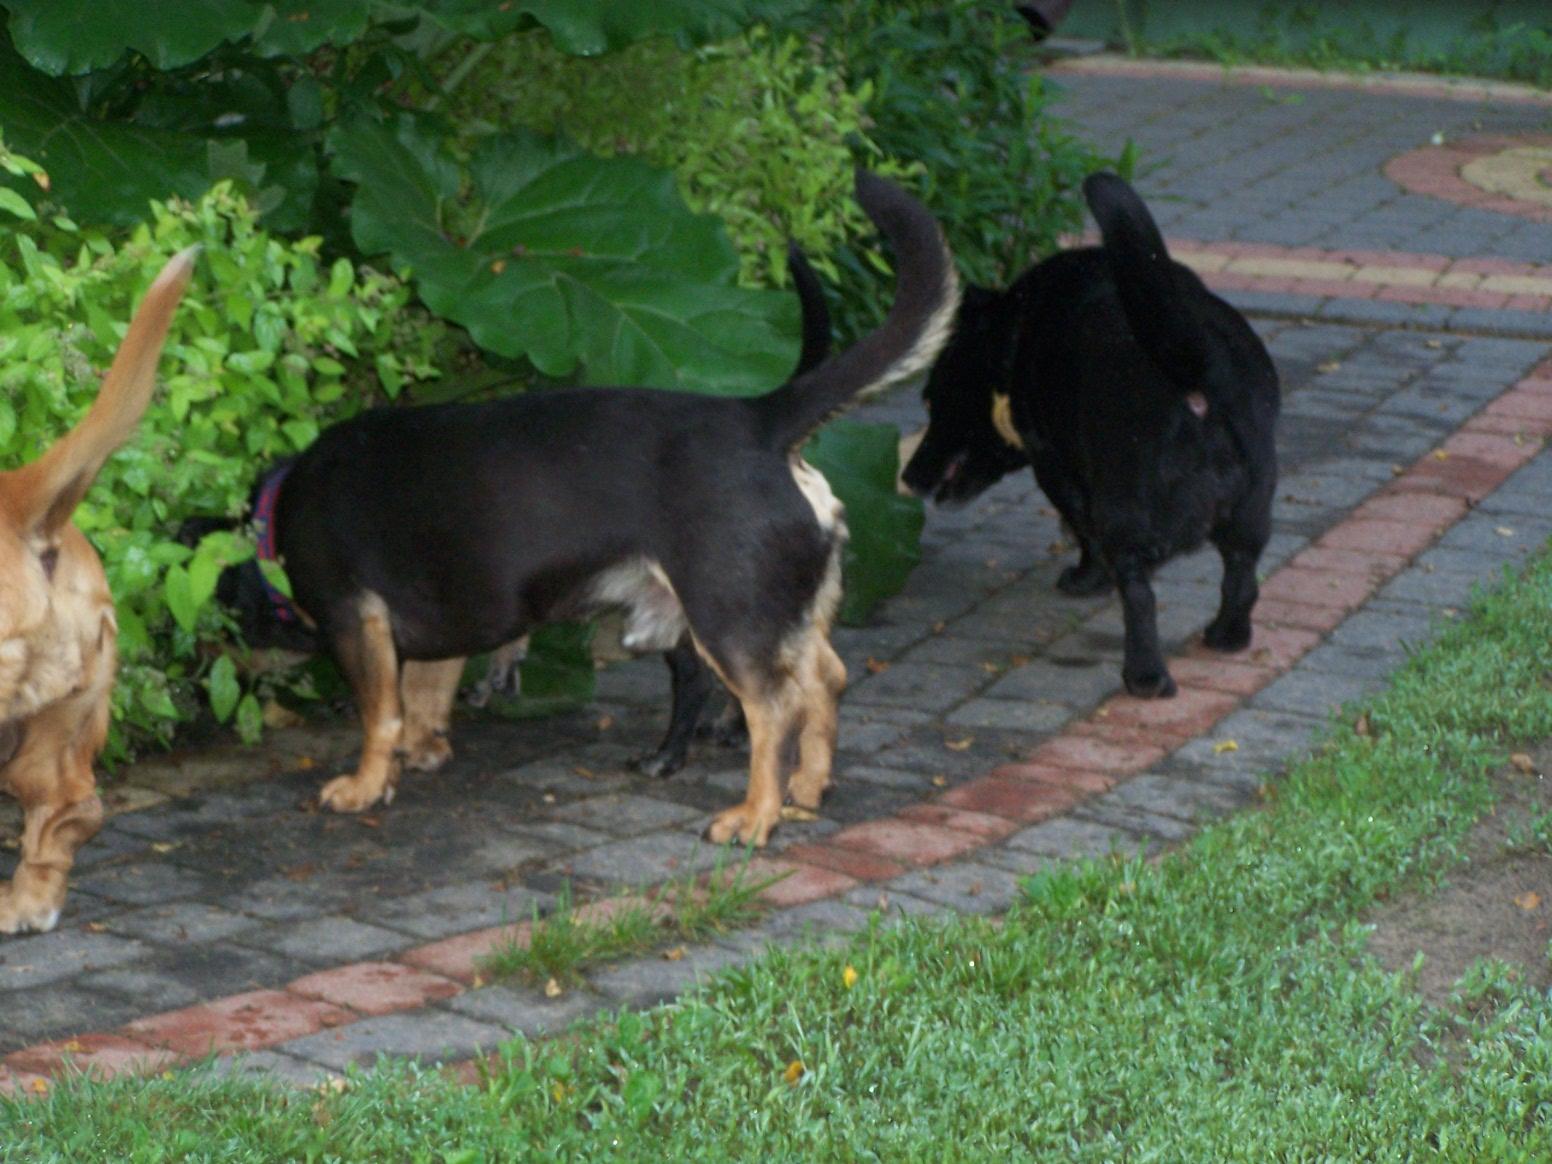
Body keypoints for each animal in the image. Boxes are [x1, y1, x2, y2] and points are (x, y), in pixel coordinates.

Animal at [212, 171, 956, 846]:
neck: (277, 513)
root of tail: (763, 420)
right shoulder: (434, 629)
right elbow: (423, 698)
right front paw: (419, 755)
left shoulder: (354, 619)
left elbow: (380, 715)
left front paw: (366, 784)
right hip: (779, 616)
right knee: (826, 680)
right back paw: (807, 788)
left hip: (727, 619)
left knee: (772, 711)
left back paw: (754, 818)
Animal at [902, 172, 1278, 697]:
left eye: (932, 402)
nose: (910, 476)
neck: (1015, 334)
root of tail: (1199, 372)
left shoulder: (1055, 467)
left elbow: (1082, 532)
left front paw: (1084, 579)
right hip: (1251, 513)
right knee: (1242, 577)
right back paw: (1228, 635)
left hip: (1125, 511)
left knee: (1139, 595)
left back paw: (1146, 676)